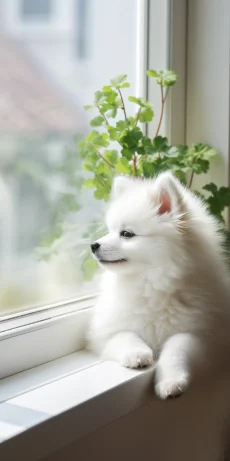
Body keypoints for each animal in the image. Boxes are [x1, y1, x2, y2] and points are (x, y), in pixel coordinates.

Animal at [86, 171, 230, 398]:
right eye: (110, 230)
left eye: (126, 234)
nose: (93, 245)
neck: (151, 284)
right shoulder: (106, 331)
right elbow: (125, 335)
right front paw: (137, 353)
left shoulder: (204, 334)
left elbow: (177, 347)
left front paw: (171, 381)